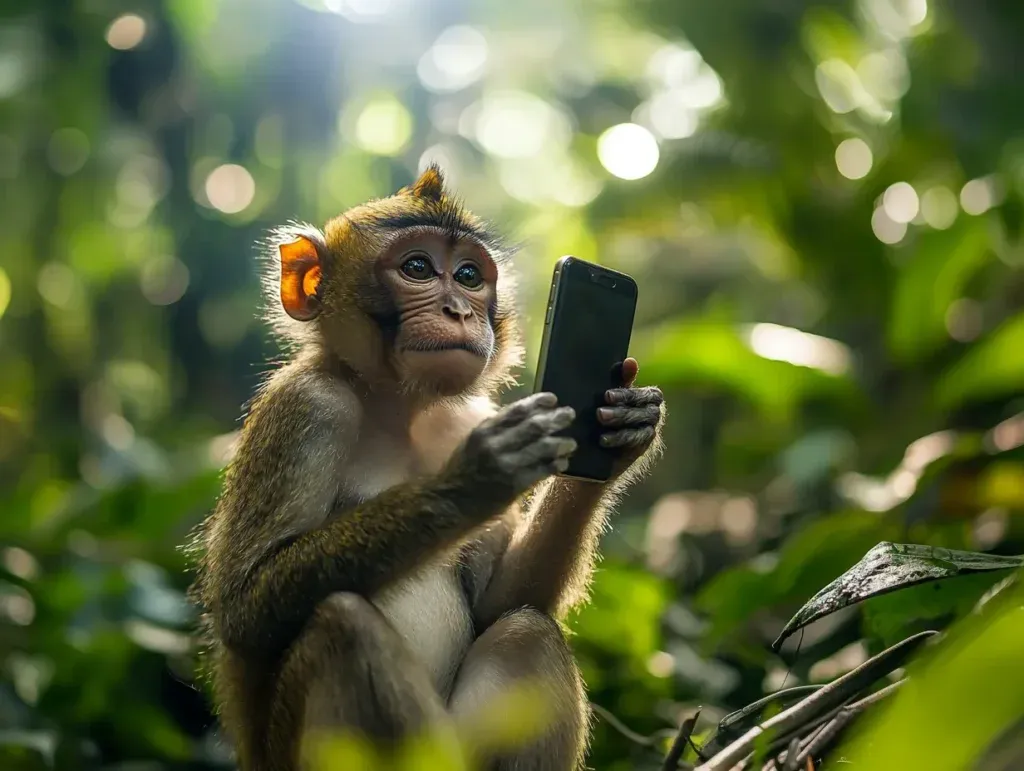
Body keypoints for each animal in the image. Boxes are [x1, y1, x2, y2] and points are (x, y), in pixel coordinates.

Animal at [189, 164, 665, 771]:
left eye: (468, 276)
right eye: (417, 268)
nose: (459, 310)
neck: (399, 406)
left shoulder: (466, 415)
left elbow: (500, 603)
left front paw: (627, 430)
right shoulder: (309, 406)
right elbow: (244, 610)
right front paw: (473, 480)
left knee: (526, 629)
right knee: (344, 626)